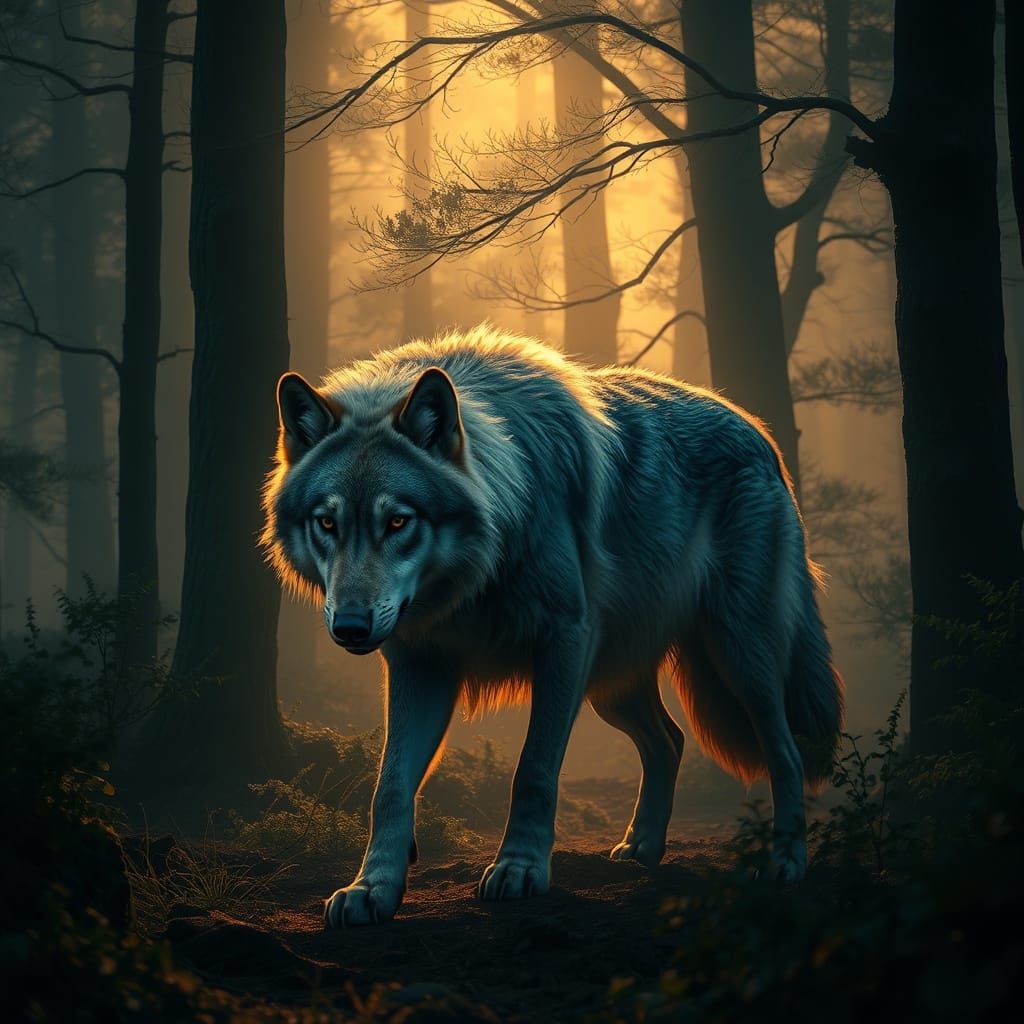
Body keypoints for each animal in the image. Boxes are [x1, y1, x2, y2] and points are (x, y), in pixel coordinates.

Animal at [262, 325, 843, 928]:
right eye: (327, 523)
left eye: (398, 521)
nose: (351, 627)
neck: (479, 574)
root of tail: (759, 432)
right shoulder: (419, 666)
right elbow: (390, 785)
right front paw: (372, 887)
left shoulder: (564, 642)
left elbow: (533, 769)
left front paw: (519, 868)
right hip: (613, 688)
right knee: (670, 740)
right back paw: (642, 848)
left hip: (737, 659)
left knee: (786, 751)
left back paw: (785, 862)